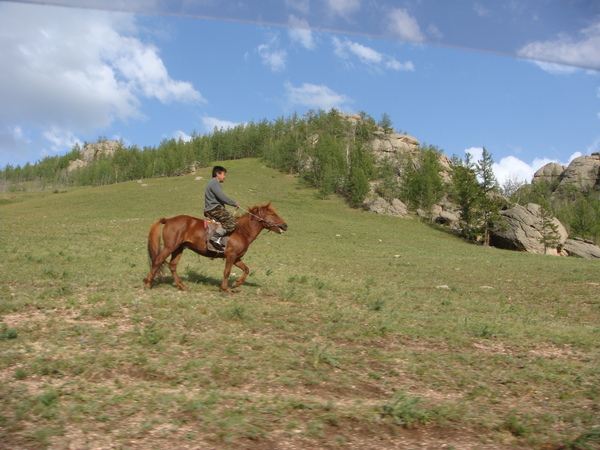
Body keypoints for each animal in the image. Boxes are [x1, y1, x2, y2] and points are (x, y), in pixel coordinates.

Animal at [144, 203, 288, 294]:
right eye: (273, 214)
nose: (285, 226)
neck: (241, 231)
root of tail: (168, 220)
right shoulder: (230, 256)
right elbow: (227, 272)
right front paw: (225, 289)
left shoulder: (236, 258)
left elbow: (246, 269)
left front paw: (236, 284)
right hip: (170, 247)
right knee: (158, 261)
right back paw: (148, 285)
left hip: (179, 248)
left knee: (172, 266)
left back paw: (182, 286)